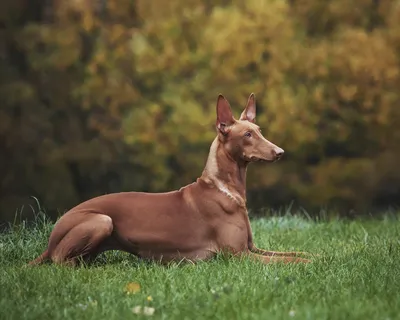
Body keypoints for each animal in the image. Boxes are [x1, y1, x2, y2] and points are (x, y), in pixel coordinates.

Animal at [29, 94, 310, 266]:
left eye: (259, 131)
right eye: (248, 135)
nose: (280, 152)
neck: (224, 189)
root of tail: (51, 239)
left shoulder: (252, 248)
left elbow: (298, 252)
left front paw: (317, 255)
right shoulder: (237, 255)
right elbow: (291, 260)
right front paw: (311, 264)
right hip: (101, 220)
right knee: (63, 263)